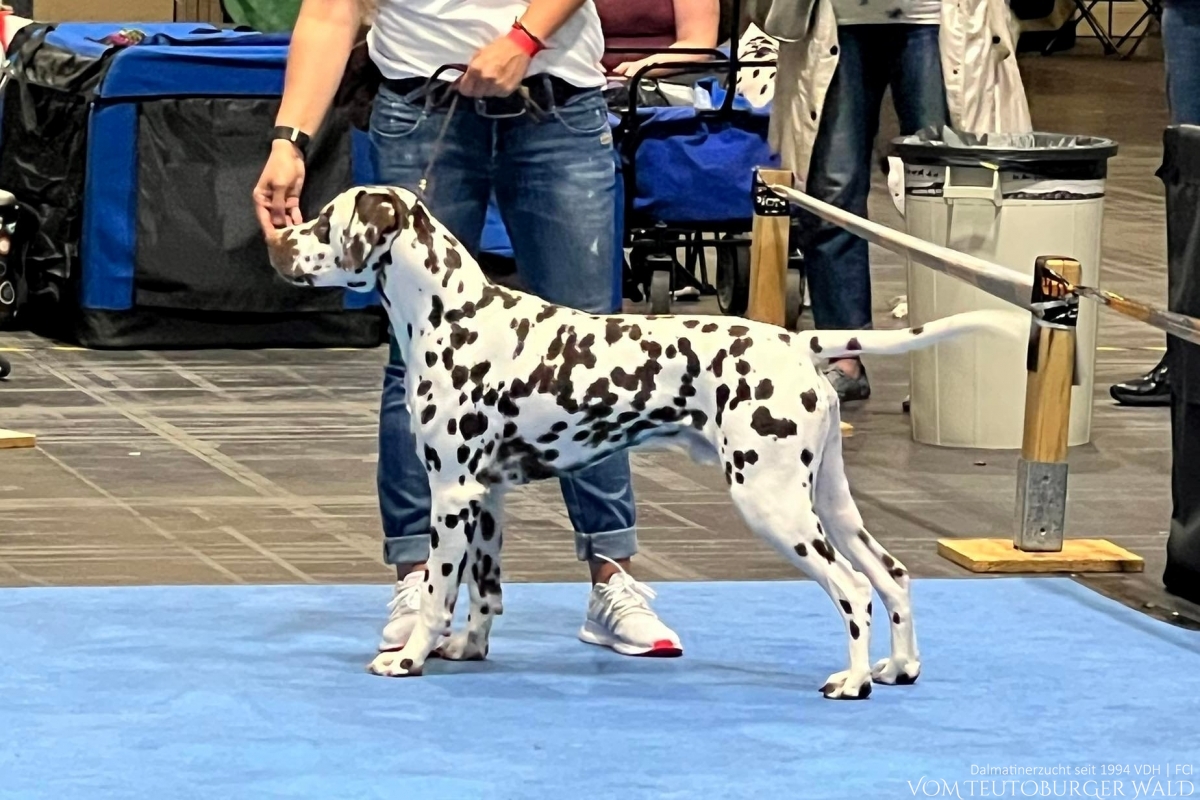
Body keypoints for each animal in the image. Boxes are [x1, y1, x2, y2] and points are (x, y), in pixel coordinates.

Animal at [267, 188, 1017, 700]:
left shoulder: (451, 496)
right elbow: (484, 592)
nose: (277, 240)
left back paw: (853, 681)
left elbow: (434, 593)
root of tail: (796, 340)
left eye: (323, 223)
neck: (452, 315)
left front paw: (409, 657)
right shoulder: (489, 498)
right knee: (892, 576)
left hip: (774, 503)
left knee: (854, 589)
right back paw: (899, 667)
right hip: (830, 503)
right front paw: (467, 648)